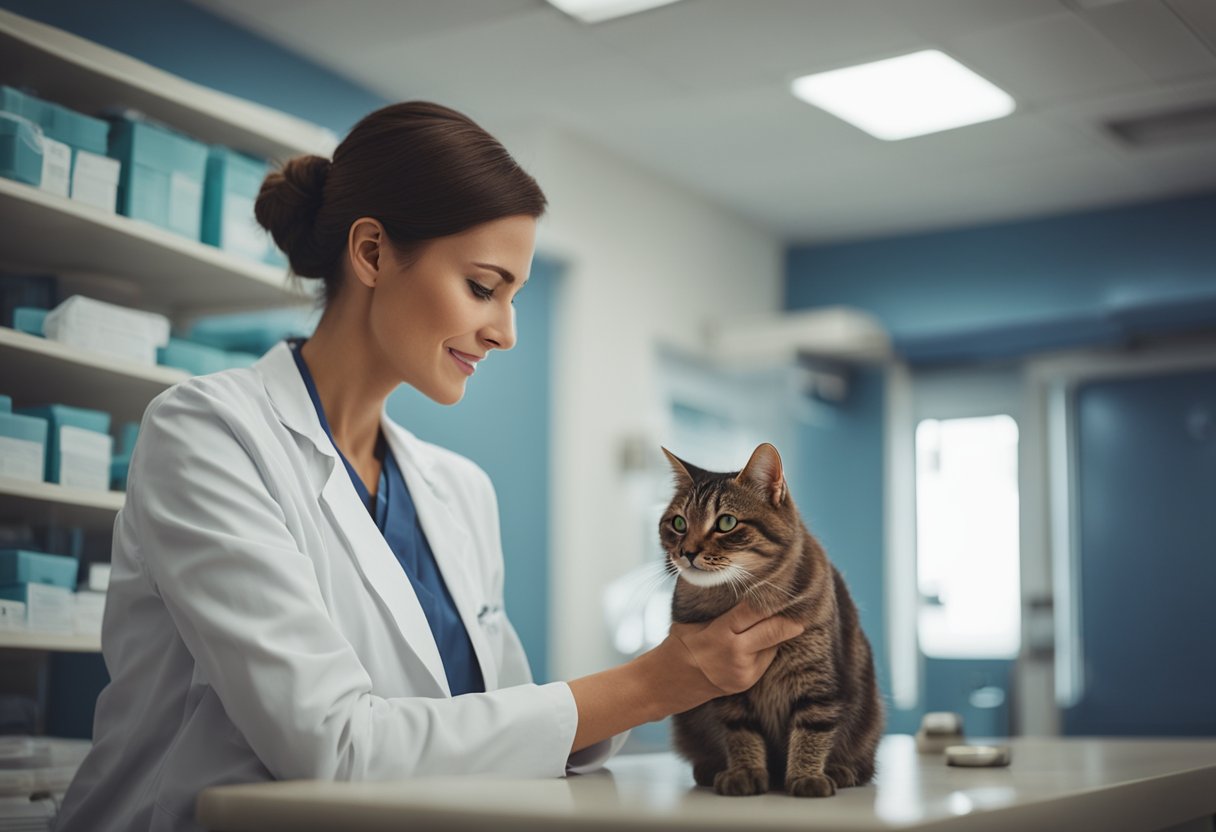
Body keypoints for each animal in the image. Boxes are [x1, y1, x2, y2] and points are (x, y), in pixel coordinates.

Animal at [666, 445, 885, 797]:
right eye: (678, 523)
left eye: (726, 522)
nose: (686, 551)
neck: (737, 595)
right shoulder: (727, 684)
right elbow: (740, 731)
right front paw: (745, 772)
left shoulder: (817, 679)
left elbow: (813, 727)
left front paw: (808, 776)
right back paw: (711, 768)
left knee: (863, 762)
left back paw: (840, 770)